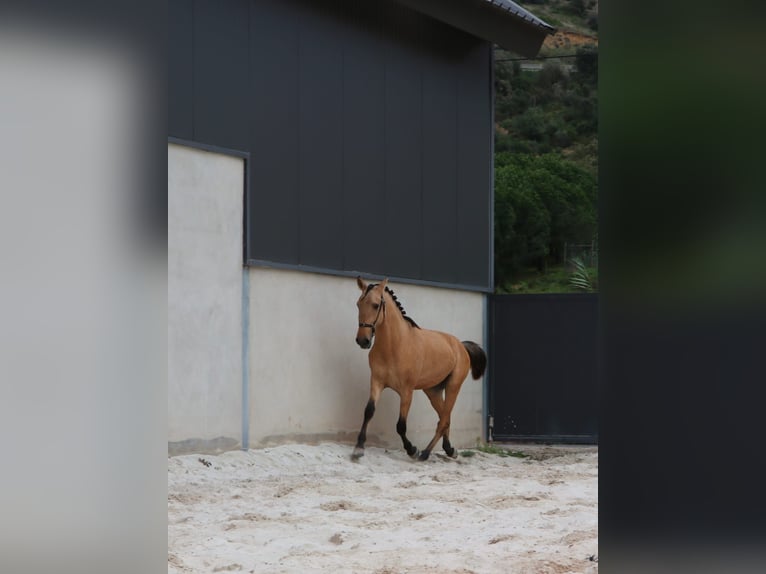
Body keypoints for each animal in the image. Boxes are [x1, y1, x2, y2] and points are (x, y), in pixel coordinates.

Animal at [352, 276, 486, 462]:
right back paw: (449, 449)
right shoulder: (377, 382)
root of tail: (460, 345)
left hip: (453, 386)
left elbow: (401, 425)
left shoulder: (407, 391)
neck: (394, 346)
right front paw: (358, 448)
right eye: (358, 304)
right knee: (444, 418)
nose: (362, 341)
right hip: (433, 391)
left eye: (375, 305)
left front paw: (412, 450)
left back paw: (425, 453)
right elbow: (368, 411)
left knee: (444, 420)